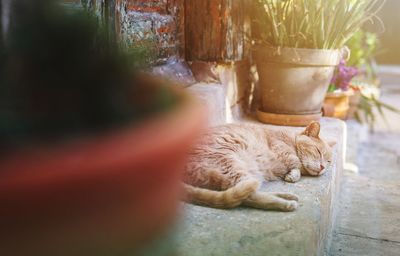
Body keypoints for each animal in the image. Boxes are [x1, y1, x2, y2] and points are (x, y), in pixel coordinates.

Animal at [184, 122, 334, 212]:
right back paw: (285, 203)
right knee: (249, 197)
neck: (291, 139)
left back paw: (286, 196)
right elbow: (295, 162)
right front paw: (294, 174)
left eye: (328, 162)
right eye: (318, 152)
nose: (322, 167)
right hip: (230, 165)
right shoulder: (280, 147)